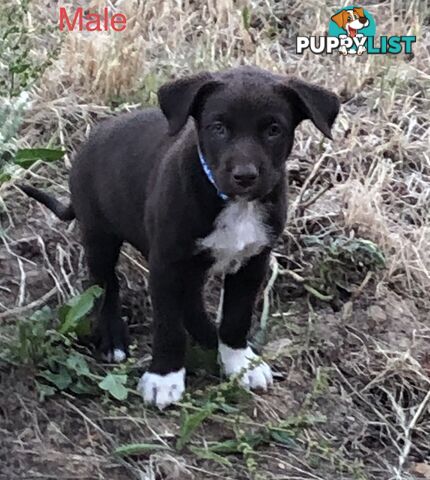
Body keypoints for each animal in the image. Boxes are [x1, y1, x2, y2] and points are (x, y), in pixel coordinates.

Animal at [21, 65, 340, 406]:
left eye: (273, 129)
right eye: (218, 128)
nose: (244, 176)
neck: (234, 203)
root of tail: (91, 139)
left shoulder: (252, 261)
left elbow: (236, 316)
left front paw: (239, 361)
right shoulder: (166, 263)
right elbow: (168, 325)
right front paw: (165, 377)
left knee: (188, 300)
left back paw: (209, 337)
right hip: (99, 234)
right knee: (104, 283)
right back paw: (112, 336)